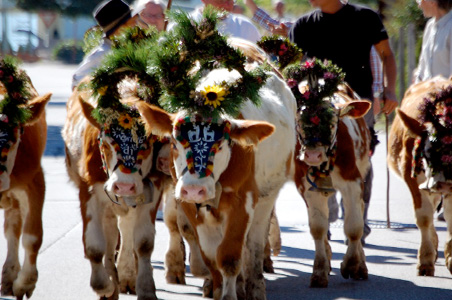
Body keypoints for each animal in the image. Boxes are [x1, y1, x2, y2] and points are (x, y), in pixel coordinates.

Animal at [61, 78, 164, 300]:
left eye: (146, 145)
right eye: (107, 143)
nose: (124, 185)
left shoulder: (154, 190)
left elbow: (143, 243)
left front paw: (146, 289)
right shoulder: (89, 190)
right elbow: (95, 246)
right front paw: (105, 286)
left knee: (125, 230)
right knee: (110, 237)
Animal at [137, 67, 296, 300]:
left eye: (220, 145)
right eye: (174, 142)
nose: (195, 189)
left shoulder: (243, 202)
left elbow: (229, 257)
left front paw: (230, 294)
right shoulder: (188, 205)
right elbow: (211, 256)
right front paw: (218, 287)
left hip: (267, 197)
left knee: (255, 243)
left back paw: (255, 286)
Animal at [386, 75, 452, 276]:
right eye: (428, 153)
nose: (442, 184)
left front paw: (451, 257)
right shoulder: (413, 179)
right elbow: (423, 217)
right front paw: (425, 259)